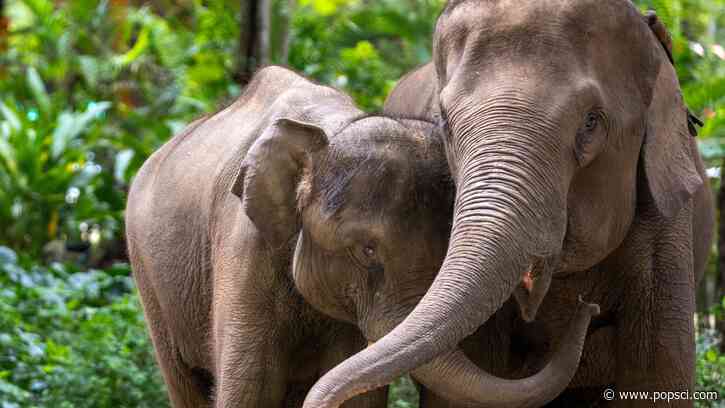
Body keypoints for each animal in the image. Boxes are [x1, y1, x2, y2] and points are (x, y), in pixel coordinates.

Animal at [126, 65, 600, 407]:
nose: (588, 304)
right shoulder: (242, 246)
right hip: (147, 273)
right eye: (366, 250)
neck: (330, 129)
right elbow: (250, 385)